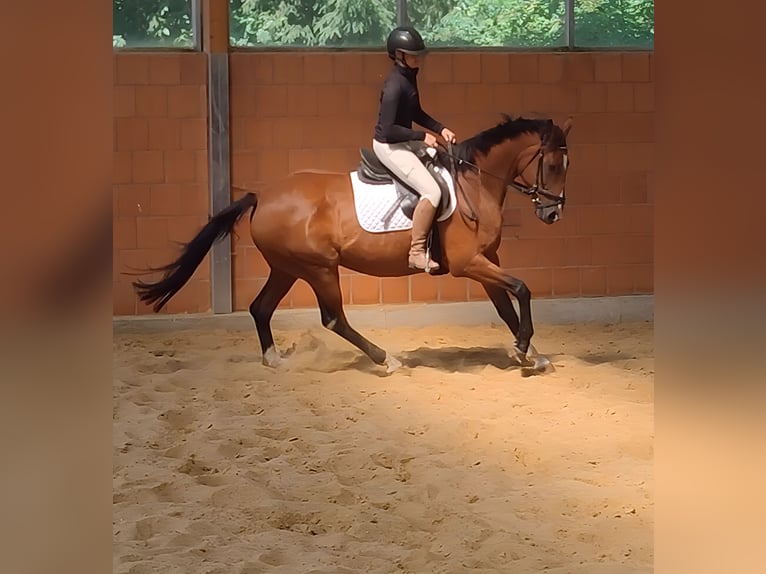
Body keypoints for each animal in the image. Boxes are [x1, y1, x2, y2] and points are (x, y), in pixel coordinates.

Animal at [132, 114, 573, 375]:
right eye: (553, 165)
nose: (553, 213)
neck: (475, 183)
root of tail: (262, 196)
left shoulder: (486, 259)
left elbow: (505, 305)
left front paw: (528, 352)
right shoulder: (470, 263)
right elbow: (522, 289)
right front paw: (524, 348)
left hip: (287, 268)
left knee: (261, 308)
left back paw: (275, 360)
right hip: (319, 269)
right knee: (333, 318)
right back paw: (385, 359)